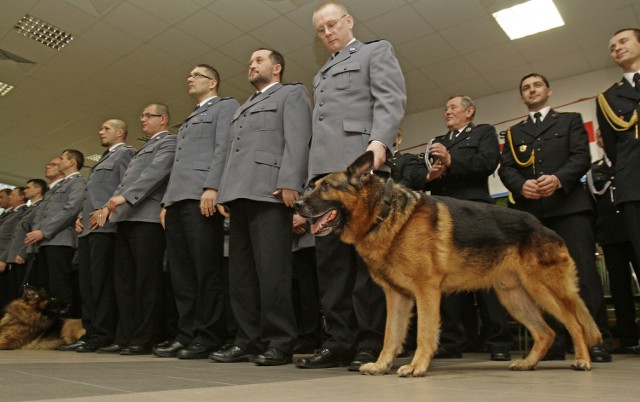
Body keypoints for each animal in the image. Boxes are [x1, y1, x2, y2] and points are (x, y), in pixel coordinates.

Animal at [298, 151, 604, 376]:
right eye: (312, 186)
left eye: (326, 187)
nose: (298, 205)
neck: (383, 213)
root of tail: (545, 228)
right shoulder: (397, 297)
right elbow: (391, 336)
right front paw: (383, 364)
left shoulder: (426, 293)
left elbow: (424, 333)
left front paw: (417, 366)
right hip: (514, 298)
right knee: (546, 332)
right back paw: (528, 362)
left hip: (545, 291)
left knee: (575, 324)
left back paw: (583, 360)